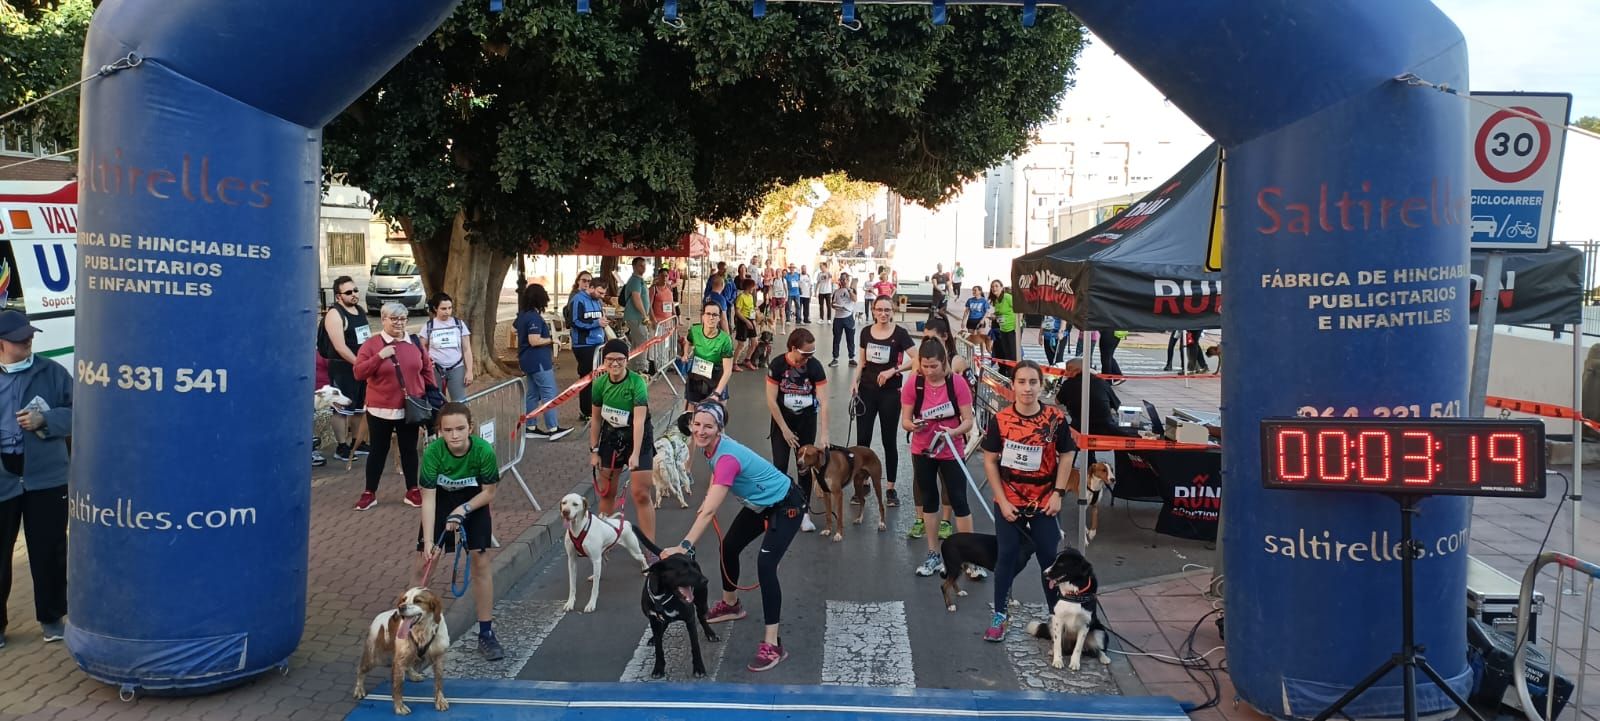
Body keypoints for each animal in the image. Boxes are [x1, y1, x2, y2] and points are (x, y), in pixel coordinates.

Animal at [352, 588, 448, 716]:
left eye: (418, 600)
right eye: (404, 599)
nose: (401, 607)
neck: (422, 631)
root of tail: (378, 617)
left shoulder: (438, 658)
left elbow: (439, 683)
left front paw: (440, 701)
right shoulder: (398, 661)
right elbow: (397, 687)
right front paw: (399, 707)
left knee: (409, 665)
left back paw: (413, 675)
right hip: (376, 657)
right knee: (360, 670)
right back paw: (359, 689)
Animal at [630, 527, 720, 681]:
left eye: (694, 567)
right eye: (683, 570)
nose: (705, 580)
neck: (664, 596)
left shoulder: (690, 619)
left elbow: (695, 646)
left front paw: (699, 668)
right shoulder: (654, 619)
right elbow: (659, 649)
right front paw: (658, 668)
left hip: (701, 602)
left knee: (702, 617)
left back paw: (710, 633)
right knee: (662, 627)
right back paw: (654, 637)